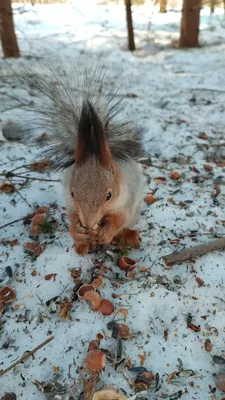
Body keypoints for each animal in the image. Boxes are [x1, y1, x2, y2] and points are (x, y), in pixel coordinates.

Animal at [19, 61, 146, 255]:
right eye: (73, 193)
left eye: (109, 195)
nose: (88, 223)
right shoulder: (71, 202)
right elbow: (72, 217)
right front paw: (78, 232)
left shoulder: (128, 199)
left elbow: (119, 218)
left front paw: (106, 232)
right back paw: (82, 246)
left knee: (124, 226)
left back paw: (128, 236)